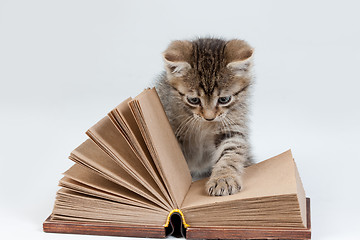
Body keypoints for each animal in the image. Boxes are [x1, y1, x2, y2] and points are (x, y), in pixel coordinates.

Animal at [155, 37, 253, 195]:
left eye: (224, 99)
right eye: (193, 100)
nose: (209, 117)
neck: (203, 125)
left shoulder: (232, 126)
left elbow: (230, 153)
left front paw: (223, 179)